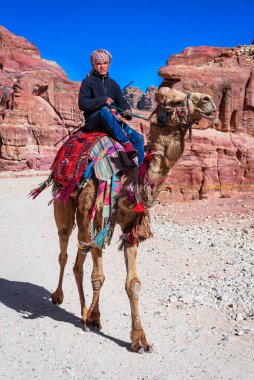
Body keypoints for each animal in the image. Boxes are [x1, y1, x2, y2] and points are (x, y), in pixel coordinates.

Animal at [51, 87, 216, 354]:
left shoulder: (131, 227)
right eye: (175, 101)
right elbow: (99, 277)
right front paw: (94, 318)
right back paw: (60, 298)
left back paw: (84, 311)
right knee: (65, 249)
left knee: (78, 259)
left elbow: (133, 283)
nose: (209, 101)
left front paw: (139, 339)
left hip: (83, 219)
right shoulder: (100, 221)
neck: (129, 181)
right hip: (65, 202)